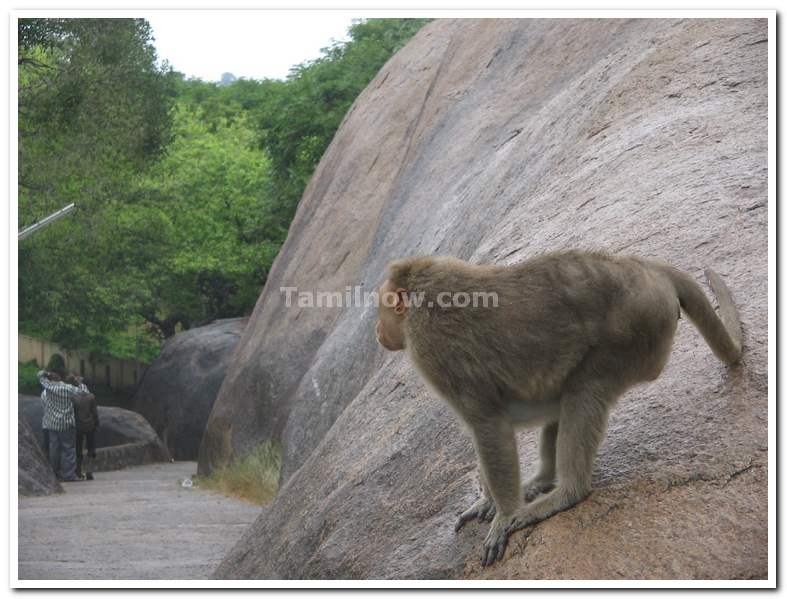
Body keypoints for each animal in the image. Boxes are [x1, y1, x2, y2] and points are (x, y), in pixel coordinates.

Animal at [374, 248, 740, 568]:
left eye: (382, 309)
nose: (378, 332)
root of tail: (647, 268)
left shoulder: (433, 351)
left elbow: (489, 427)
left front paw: (503, 514)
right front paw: (491, 502)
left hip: (635, 334)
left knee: (584, 391)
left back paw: (565, 493)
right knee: (565, 393)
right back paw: (542, 481)